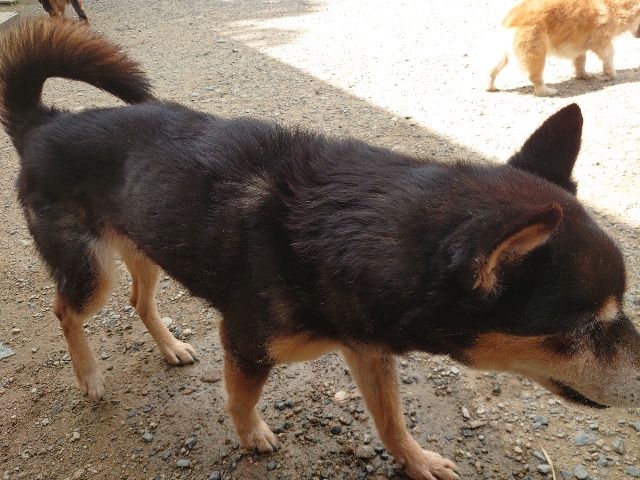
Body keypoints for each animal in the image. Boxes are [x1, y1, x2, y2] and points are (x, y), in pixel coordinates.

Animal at [2, 19, 640, 480]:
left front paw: (416, 461)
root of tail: (42, 121)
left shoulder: (368, 347)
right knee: (66, 310)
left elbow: (391, 421)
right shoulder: (246, 342)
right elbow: (240, 399)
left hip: (144, 245)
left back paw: (171, 347)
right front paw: (252, 436)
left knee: (138, 300)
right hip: (92, 269)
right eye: (587, 326)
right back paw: (90, 376)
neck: (349, 233)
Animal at [487, 0, 640, 96]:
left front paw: (583, 75)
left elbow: (580, 61)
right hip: (536, 51)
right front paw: (611, 74)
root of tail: (510, 20)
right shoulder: (603, 40)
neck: (614, 7)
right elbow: (609, 56)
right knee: (535, 77)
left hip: (504, 54)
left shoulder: (579, 44)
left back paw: (490, 87)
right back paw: (548, 91)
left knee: (492, 70)